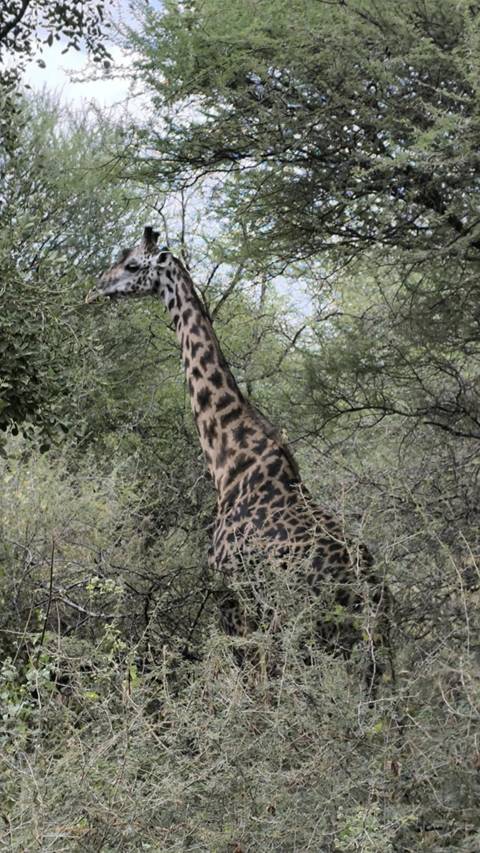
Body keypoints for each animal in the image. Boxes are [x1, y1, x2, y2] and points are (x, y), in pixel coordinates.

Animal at [86, 226, 389, 685]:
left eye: (133, 265)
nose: (97, 287)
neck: (228, 458)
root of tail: (370, 591)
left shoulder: (230, 596)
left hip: (312, 630)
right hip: (365, 649)